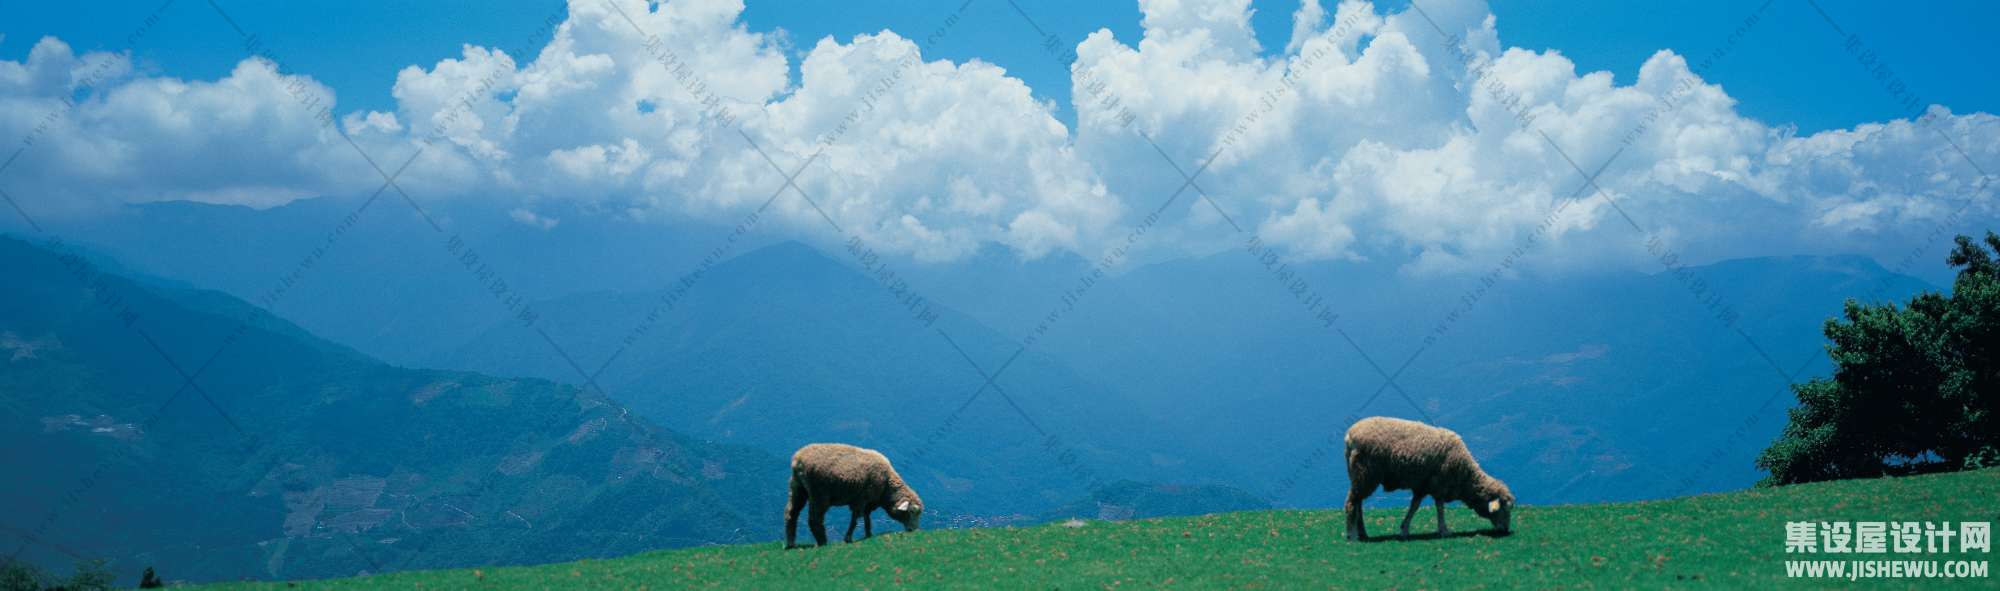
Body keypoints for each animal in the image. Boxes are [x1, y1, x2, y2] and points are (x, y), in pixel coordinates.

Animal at [788, 441, 928, 547]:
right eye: (911, 512)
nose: (914, 530)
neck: (887, 486)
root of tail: (798, 458)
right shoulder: (861, 499)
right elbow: (855, 519)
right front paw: (848, 538)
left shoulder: (869, 502)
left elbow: (867, 518)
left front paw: (868, 534)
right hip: (819, 493)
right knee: (814, 518)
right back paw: (822, 542)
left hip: (797, 488)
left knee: (791, 513)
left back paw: (791, 543)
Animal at [1344, 415, 1512, 539]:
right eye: (1504, 509)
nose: (1505, 530)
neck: (1464, 476)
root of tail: (1349, 436)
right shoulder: (1439, 484)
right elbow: (1440, 507)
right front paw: (1444, 530)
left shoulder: (1422, 486)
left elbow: (1414, 506)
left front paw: (1404, 529)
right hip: (1365, 474)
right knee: (1352, 503)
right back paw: (1352, 535)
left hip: (1359, 476)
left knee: (1358, 503)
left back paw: (1363, 533)